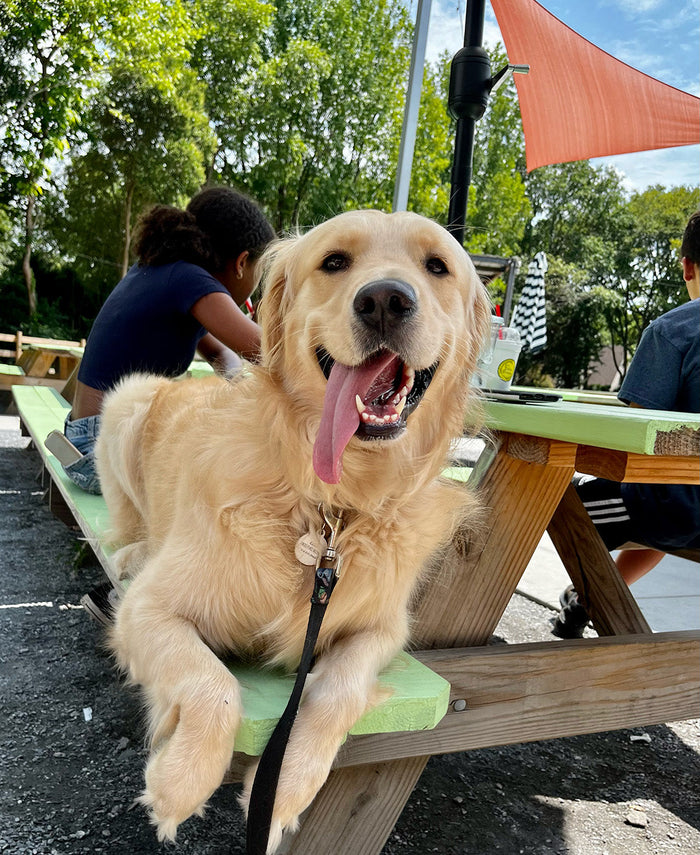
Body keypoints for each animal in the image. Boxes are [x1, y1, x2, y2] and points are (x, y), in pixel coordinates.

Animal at [97, 209, 492, 848]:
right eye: (334, 261)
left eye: (437, 266)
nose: (385, 300)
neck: (331, 504)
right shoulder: (148, 609)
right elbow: (211, 683)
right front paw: (179, 782)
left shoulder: (383, 628)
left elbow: (340, 690)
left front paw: (285, 783)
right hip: (127, 400)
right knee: (125, 521)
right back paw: (131, 551)